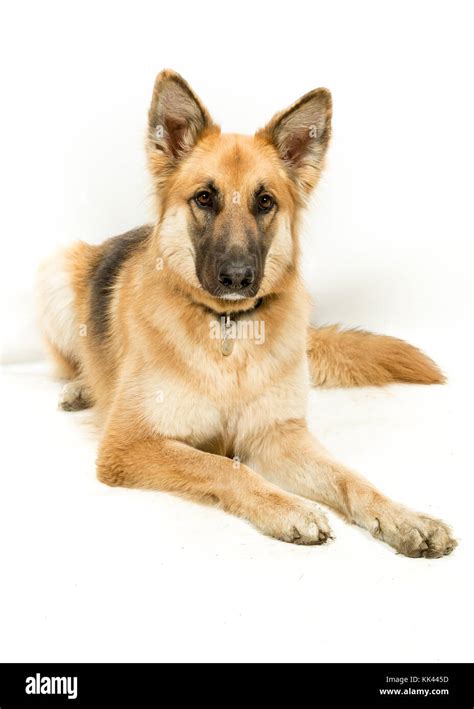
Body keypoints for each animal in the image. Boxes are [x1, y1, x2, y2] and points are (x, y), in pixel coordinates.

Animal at [37, 70, 456, 560]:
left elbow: (348, 477)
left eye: (265, 202)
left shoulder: (277, 436)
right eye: (204, 198)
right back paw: (83, 388)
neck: (228, 329)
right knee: (77, 362)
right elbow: (223, 467)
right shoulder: (130, 445)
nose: (237, 277)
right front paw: (288, 508)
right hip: (54, 272)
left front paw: (404, 518)